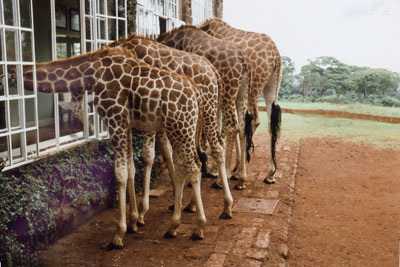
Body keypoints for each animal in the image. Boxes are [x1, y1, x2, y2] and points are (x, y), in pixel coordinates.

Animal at [21, 46, 209, 249]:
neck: (93, 72)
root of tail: (196, 92)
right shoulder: (126, 125)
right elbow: (130, 168)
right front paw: (134, 221)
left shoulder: (115, 121)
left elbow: (120, 173)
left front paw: (119, 233)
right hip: (179, 129)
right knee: (185, 166)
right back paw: (173, 226)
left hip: (181, 127)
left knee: (194, 167)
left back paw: (199, 227)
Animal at [105, 33, 234, 224]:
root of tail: (213, 71)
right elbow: (164, 154)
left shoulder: (147, 115)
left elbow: (148, 156)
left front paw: (141, 212)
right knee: (202, 151)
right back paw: (192, 204)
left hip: (207, 110)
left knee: (216, 148)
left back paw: (226, 206)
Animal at [157, 25, 253, 191]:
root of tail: (244, 62)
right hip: (242, 91)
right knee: (242, 127)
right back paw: (241, 179)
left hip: (228, 92)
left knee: (232, 127)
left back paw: (222, 179)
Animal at [199, 18, 282, 184]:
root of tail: (275, 54)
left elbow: (221, 125)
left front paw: (217, 170)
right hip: (272, 85)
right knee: (271, 124)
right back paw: (269, 175)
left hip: (253, 87)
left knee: (254, 121)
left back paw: (238, 174)